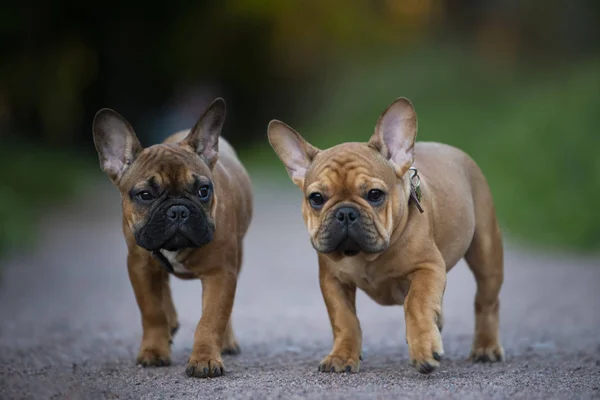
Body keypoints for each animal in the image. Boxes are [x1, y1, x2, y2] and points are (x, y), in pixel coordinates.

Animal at [92, 97, 252, 378]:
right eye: (145, 195)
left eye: (203, 190)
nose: (178, 210)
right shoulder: (140, 266)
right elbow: (152, 311)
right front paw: (154, 351)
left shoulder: (221, 273)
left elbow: (211, 319)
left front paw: (205, 358)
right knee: (163, 284)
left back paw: (226, 341)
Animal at [268, 97, 502, 376]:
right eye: (316, 198)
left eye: (374, 194)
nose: (345, 212)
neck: (366, 255)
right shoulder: (333, 280)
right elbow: (344, 319)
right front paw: (343, 355)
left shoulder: (428, 268)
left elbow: (417, 303)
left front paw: (423, 347)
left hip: (486, 254)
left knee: (486, 301)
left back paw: (486, 347)